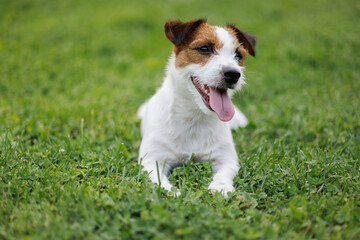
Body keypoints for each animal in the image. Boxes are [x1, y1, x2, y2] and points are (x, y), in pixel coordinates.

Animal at [136, 19, 255, 197]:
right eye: (204, 49)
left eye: (238, 55)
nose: (233, 74)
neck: (194, 117)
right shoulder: (151, 159)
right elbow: (157, 179)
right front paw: (170, 191)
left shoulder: (226, 158)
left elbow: (224, 173)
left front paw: (220, 187)